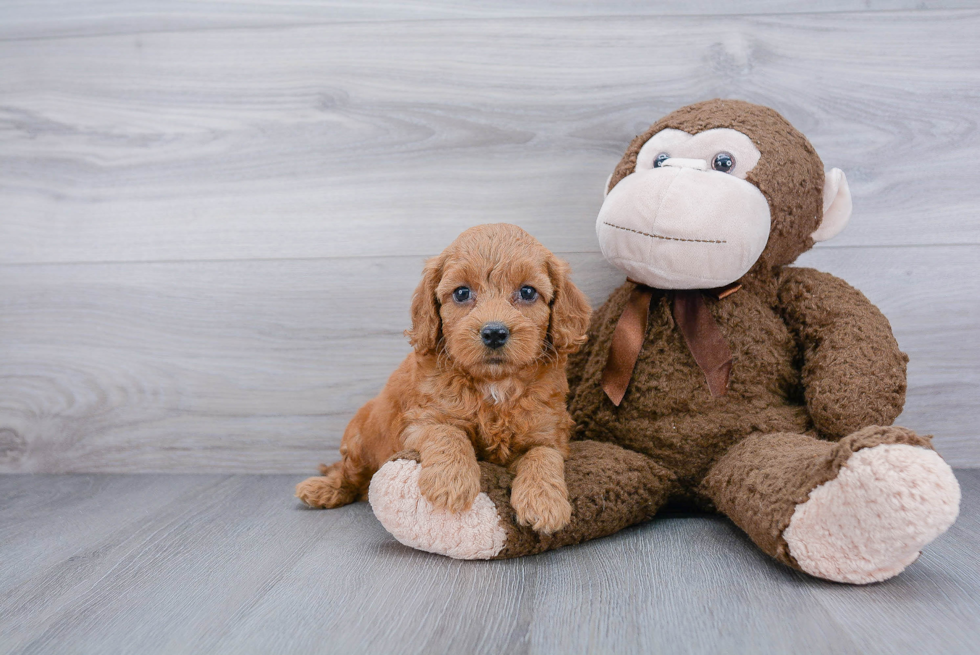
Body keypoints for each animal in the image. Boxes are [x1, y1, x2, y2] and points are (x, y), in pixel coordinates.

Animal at [294, 224, 588, 532]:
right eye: (462, 293)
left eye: (528, 292)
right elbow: (447, 432)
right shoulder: (421, 420)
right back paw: (323, 489)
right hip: (359, 442)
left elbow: (543, 455)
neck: (494, 384)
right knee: (348, 474)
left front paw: (544, 502)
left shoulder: (548, 433)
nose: (494, 333)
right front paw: (450, 482)